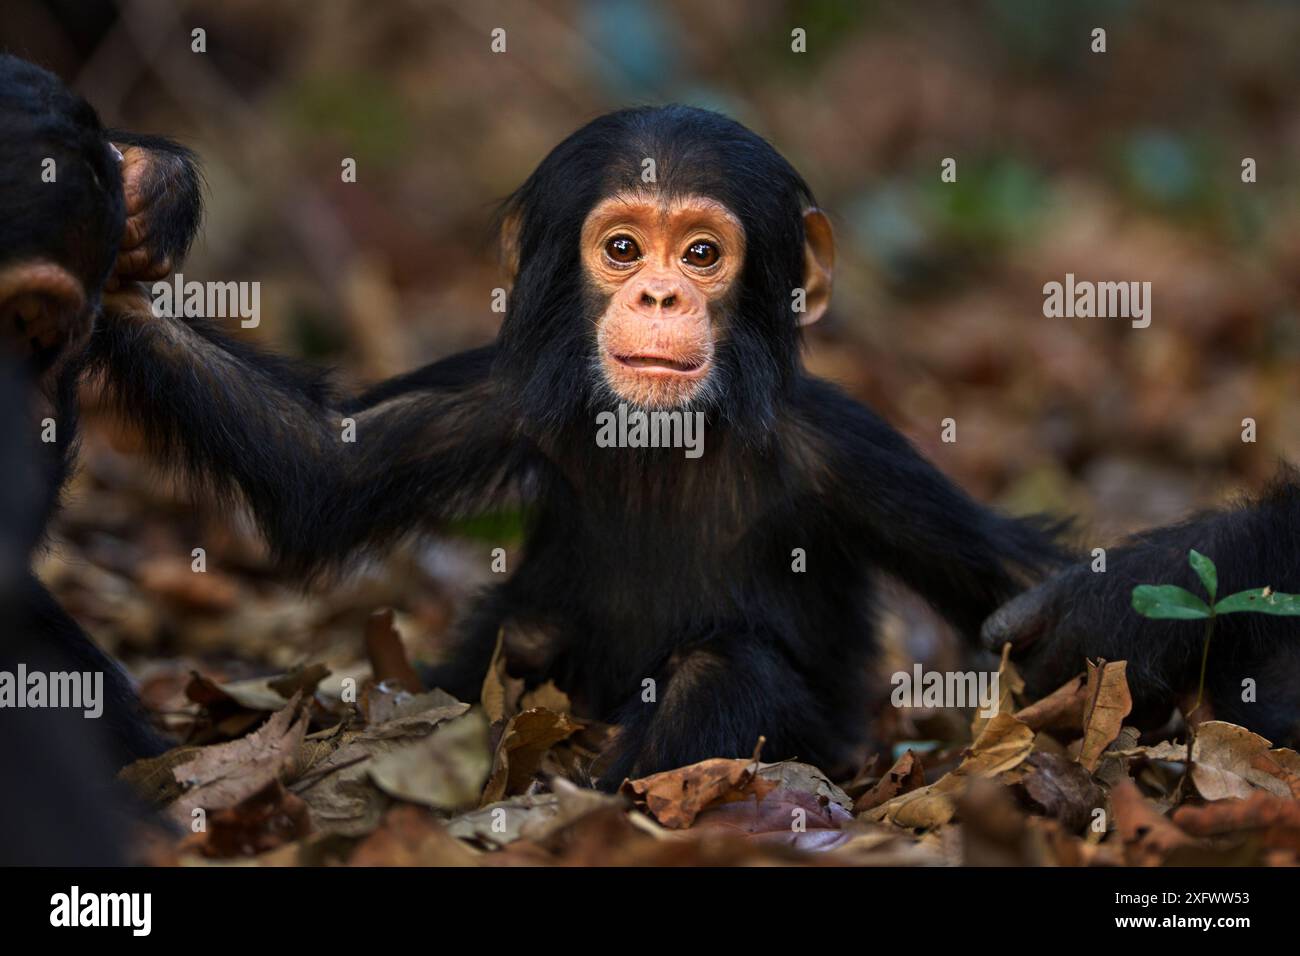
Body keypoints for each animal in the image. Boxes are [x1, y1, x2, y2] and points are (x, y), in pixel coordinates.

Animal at [98, 104, 1066, 790]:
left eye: (702, 253)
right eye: (625, 247)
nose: (660, 296)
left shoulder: (847, 450)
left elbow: (1014, 580)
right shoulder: (507, 397)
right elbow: (324, 463)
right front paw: (138, 199)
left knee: (723, 670)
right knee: (523, 632)